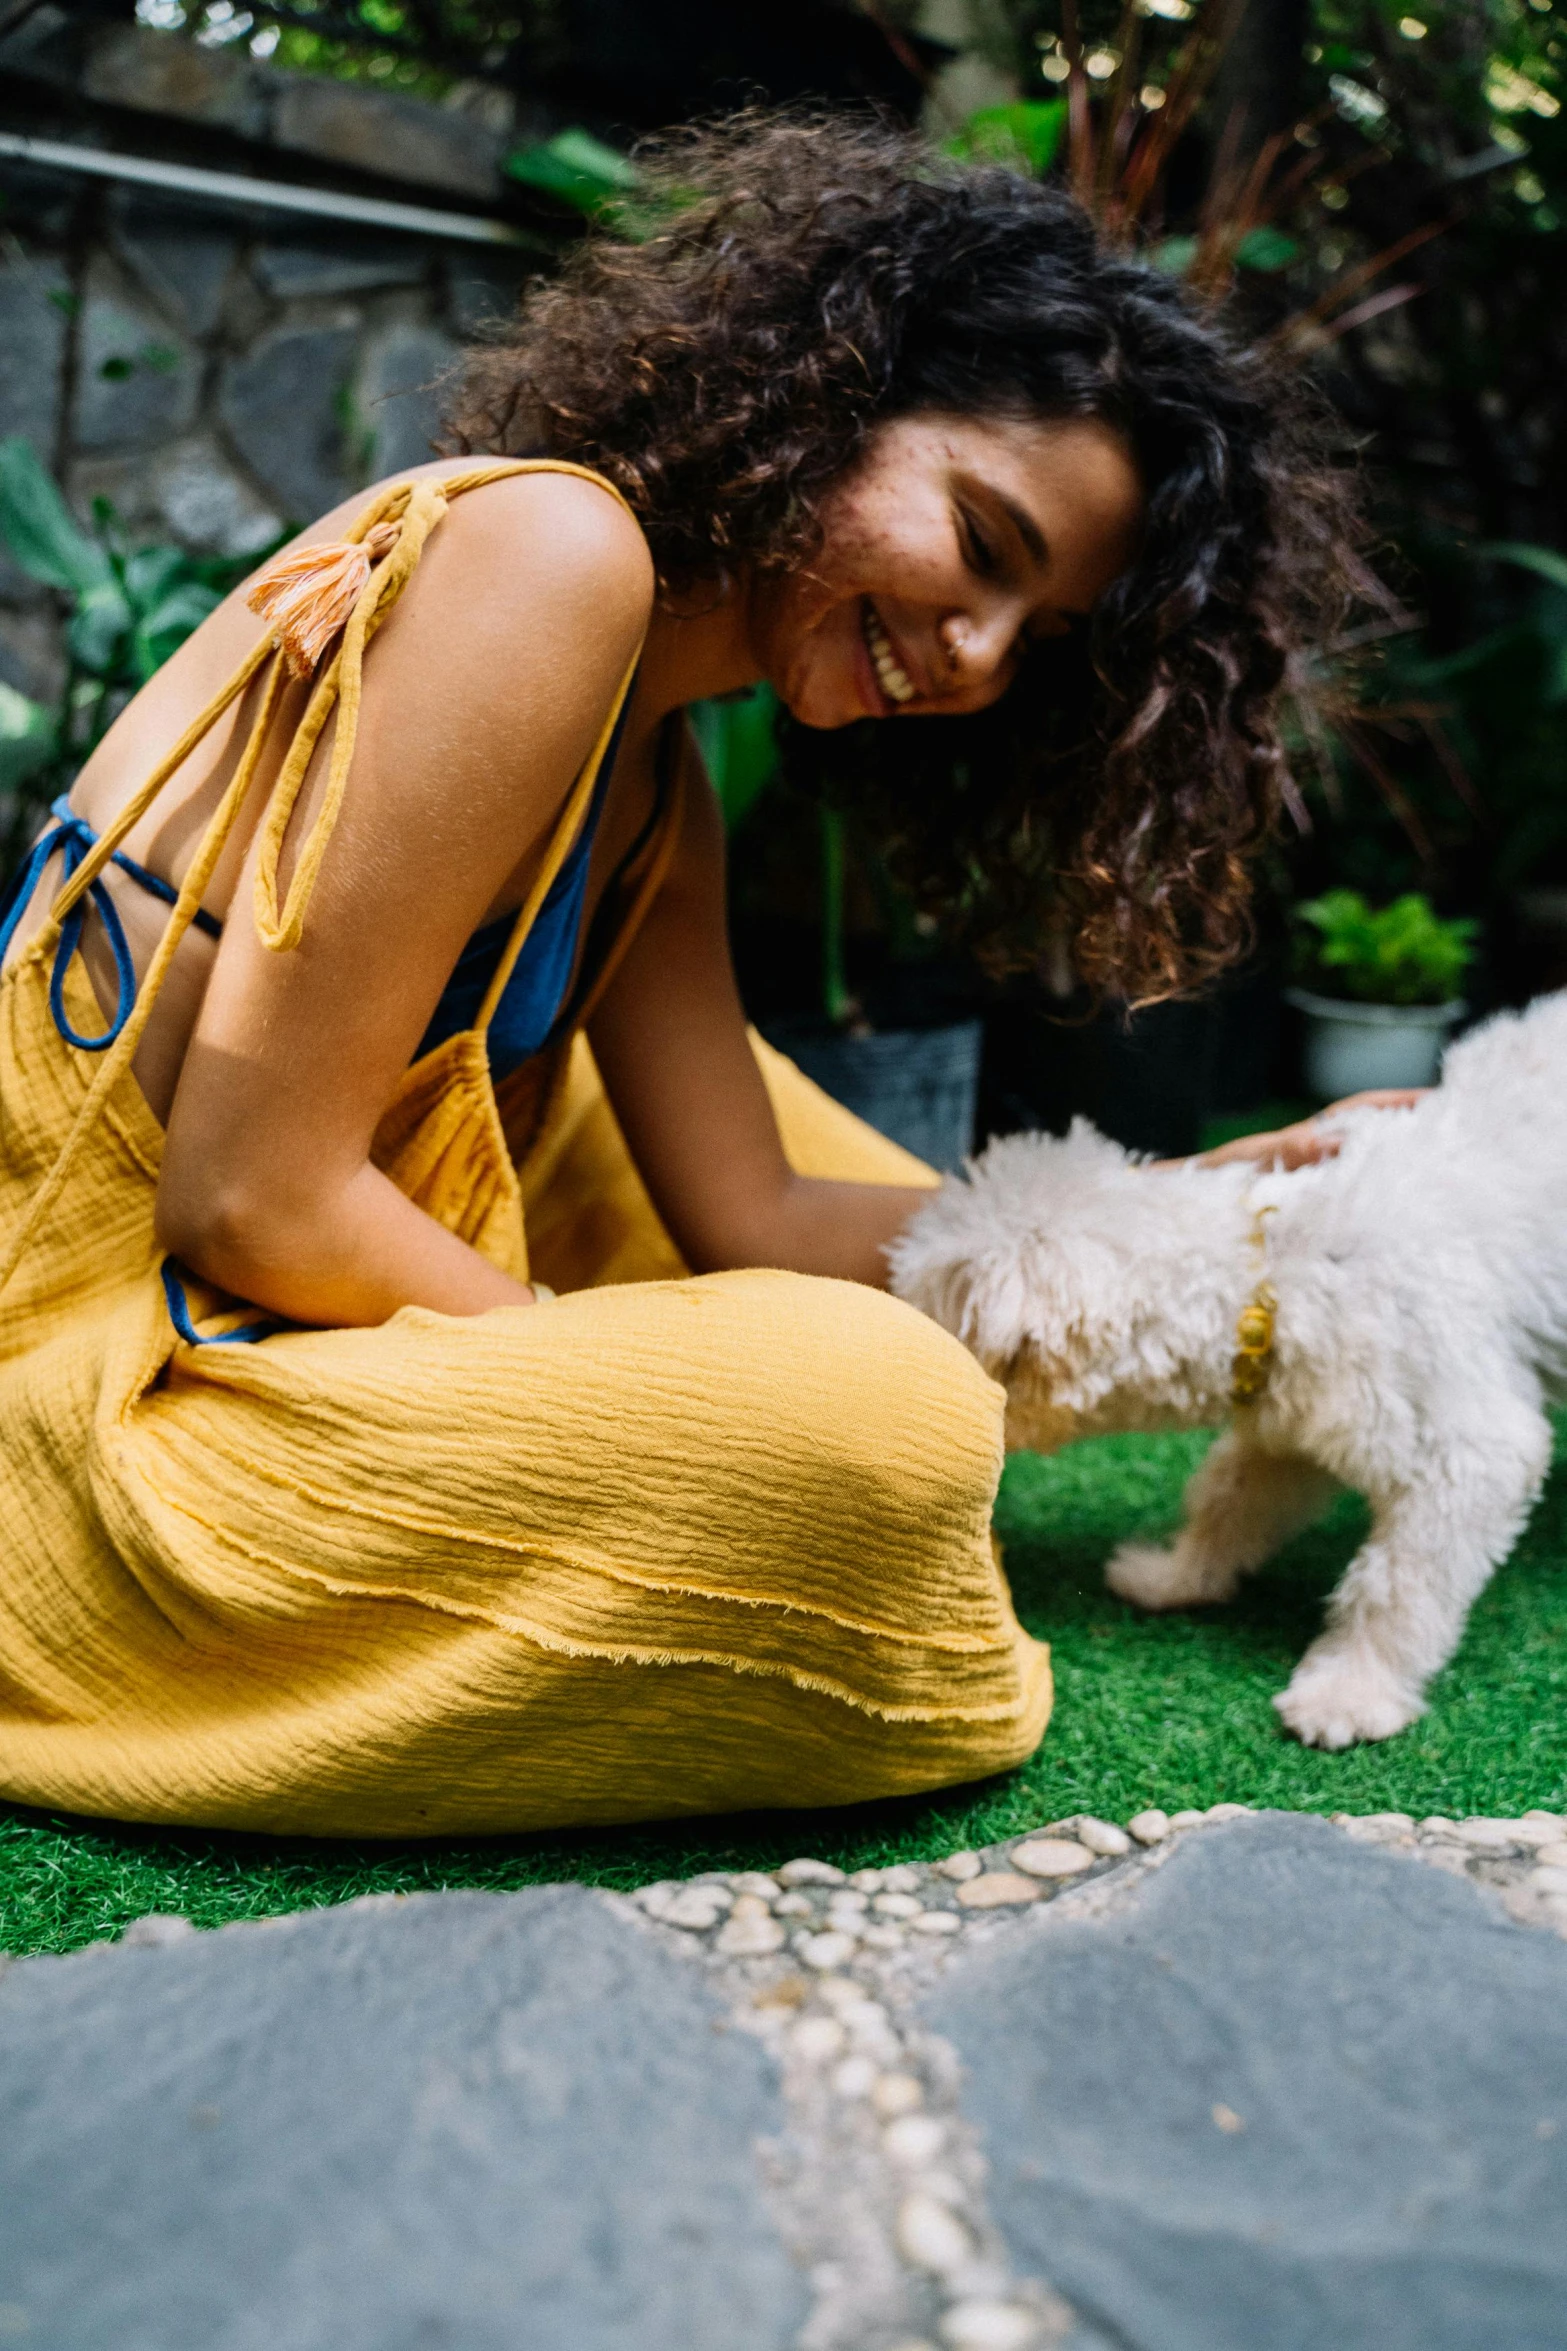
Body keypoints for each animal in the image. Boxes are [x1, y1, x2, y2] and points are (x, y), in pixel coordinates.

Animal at [892, 987, 1567, 1749]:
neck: (1275, 1278)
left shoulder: (1469, 1455)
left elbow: (1393, 1584)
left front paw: (1349, 1690)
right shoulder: (1289, 1432)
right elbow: (1225, 1499)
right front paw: (1175, 1577)